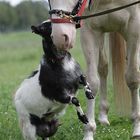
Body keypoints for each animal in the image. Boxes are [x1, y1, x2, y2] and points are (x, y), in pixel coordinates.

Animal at [46, 0, 140, 139]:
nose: (61, 37)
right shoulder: (90, 31)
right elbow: (92, 83)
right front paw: (89, 131)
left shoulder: (134, 27)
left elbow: (133, 78)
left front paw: (137, 128)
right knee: (103, 67)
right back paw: (103, 116)